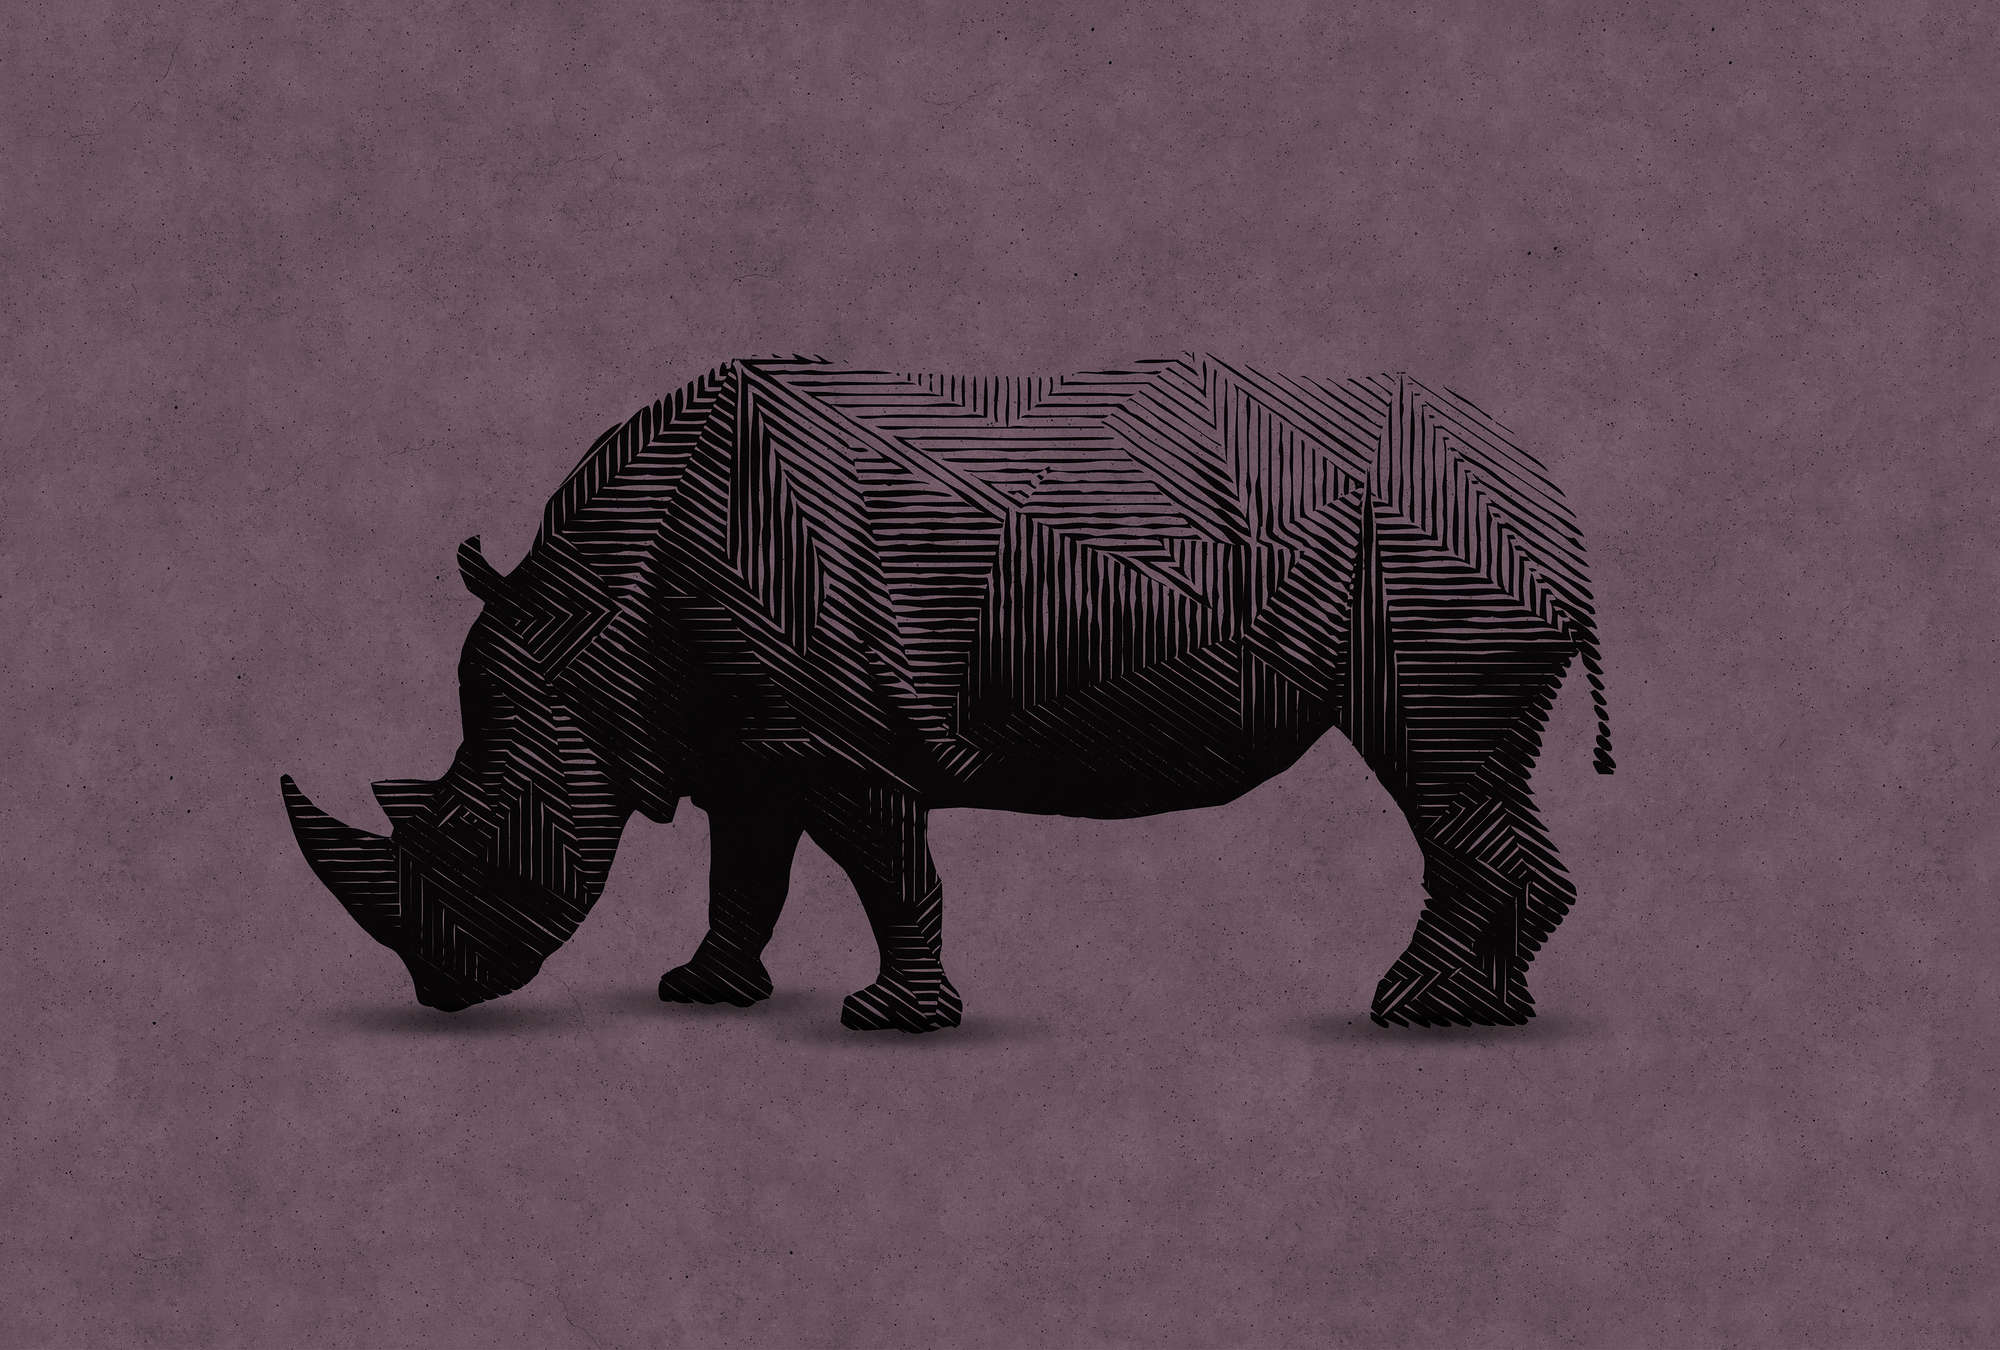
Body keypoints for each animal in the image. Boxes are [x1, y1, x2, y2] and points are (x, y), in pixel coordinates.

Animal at [282, 355, 1613, 1032]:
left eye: (469, 836)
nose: (439, 993)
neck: (586, 627)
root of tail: (1544, 481)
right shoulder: (746, 740)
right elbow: (744, 870)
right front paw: (701, 993)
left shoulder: (833, 738)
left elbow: (890, 869)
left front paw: (889, 1018)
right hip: (1442, 543)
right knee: (1472, 776)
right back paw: (1493, 1011)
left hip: (1431, 553)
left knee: (1435, 763)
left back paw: (1410, 1009)